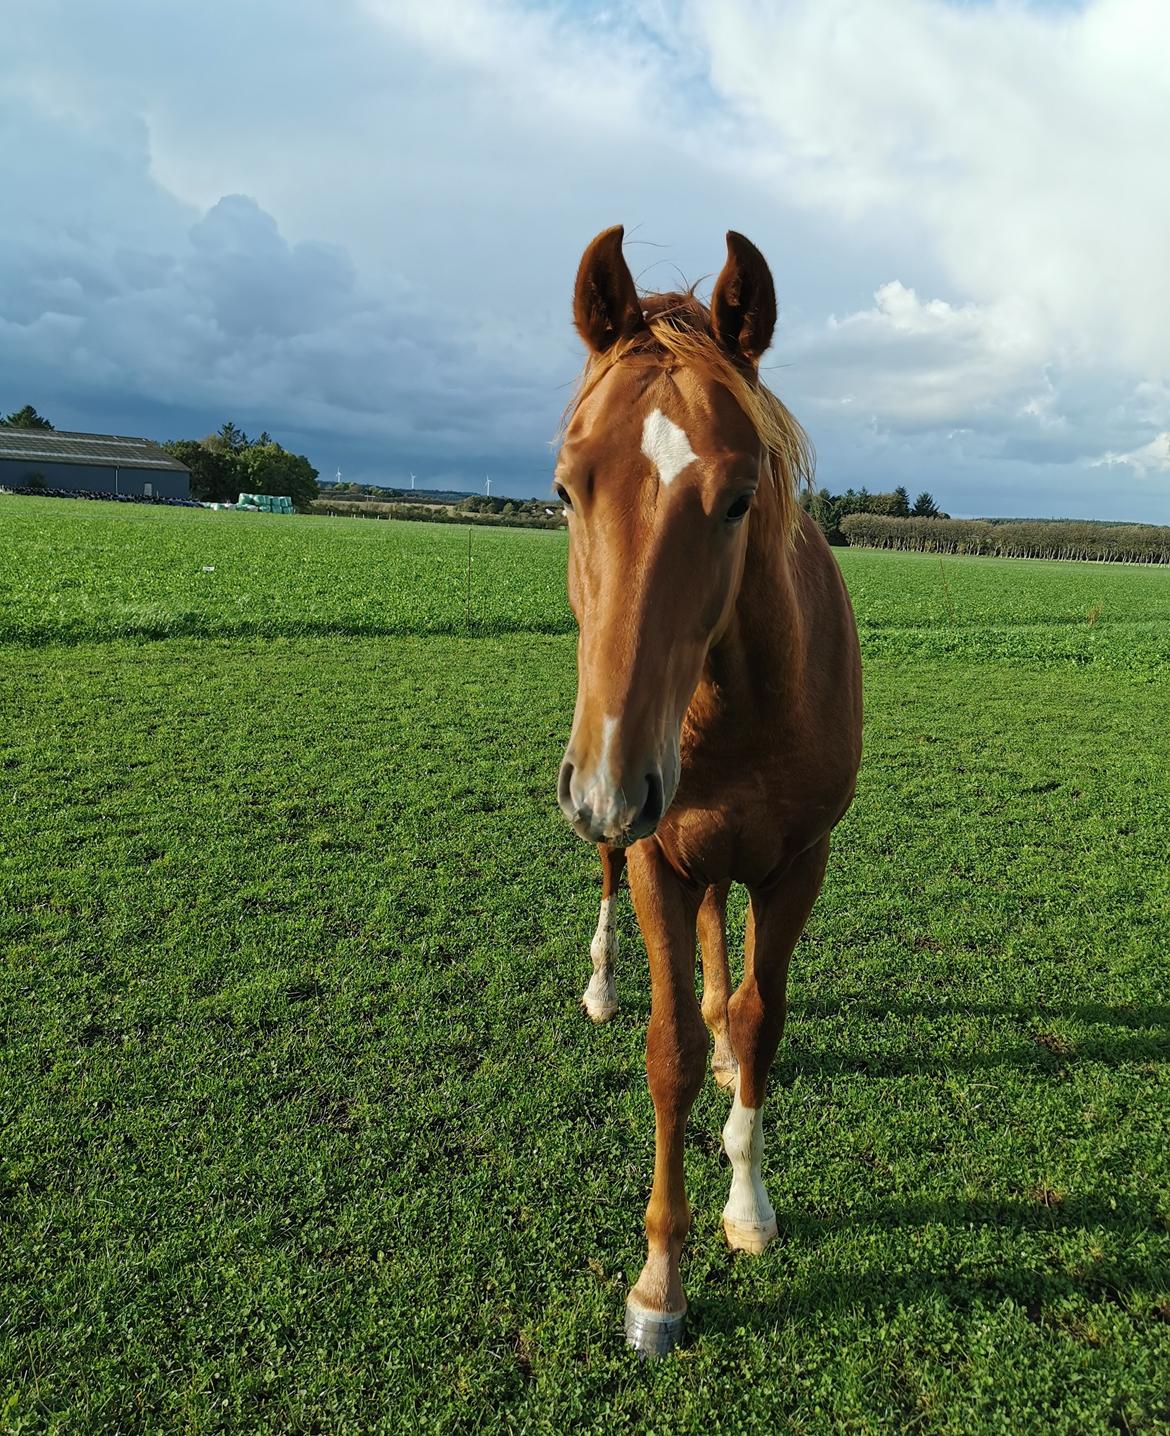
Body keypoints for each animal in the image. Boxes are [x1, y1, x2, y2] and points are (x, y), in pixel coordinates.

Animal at [554, 226, 867, 1355]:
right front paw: (658, 1281)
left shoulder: (798, 863)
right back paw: (603, 983)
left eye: (738, 497)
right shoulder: (658, 850)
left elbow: (761, 1015)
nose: (610, 782)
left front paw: (749, 1205)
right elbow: (670, 1049)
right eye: (566, 489)